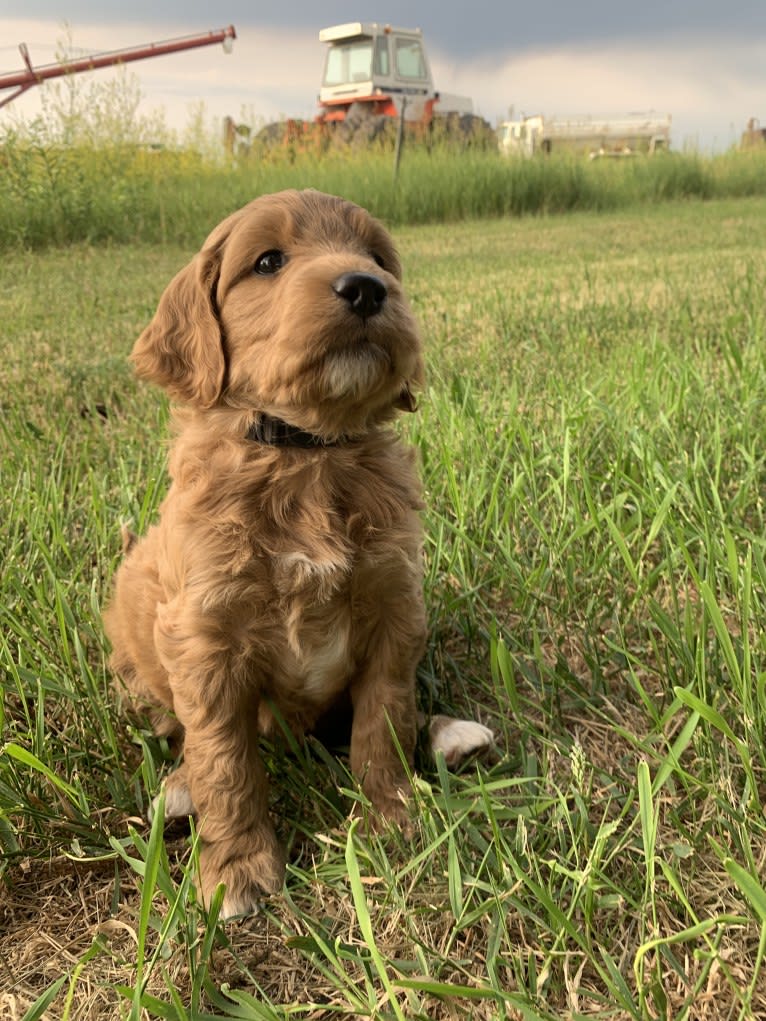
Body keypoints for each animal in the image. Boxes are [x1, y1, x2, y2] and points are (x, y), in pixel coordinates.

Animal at [105, 191, 492, 918]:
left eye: (376, 256)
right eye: (267, 262)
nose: (367, 287)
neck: (305, 453)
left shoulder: (395, 603)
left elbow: (384, 715)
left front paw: (390, 816)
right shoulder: (204, 636)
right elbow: (225, 757)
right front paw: (237, 867)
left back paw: (452, 736)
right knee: (180, 732)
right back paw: (179, 787)